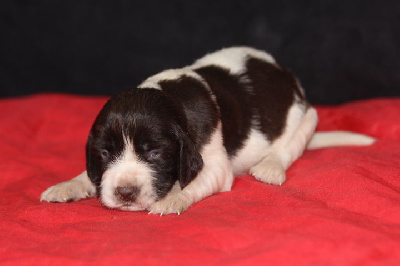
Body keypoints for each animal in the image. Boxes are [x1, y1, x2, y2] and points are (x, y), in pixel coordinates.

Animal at [40, 46, 376, 215]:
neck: (171, 98)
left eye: (155, 153)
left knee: (288, 148)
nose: (125, 193)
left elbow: (194, 183)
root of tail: (285, 74)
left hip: (306, 118)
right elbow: (90, 174)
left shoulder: (216, 167)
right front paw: (69, 184)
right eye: (105, 153)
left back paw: (269, 167)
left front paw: (171, 199)